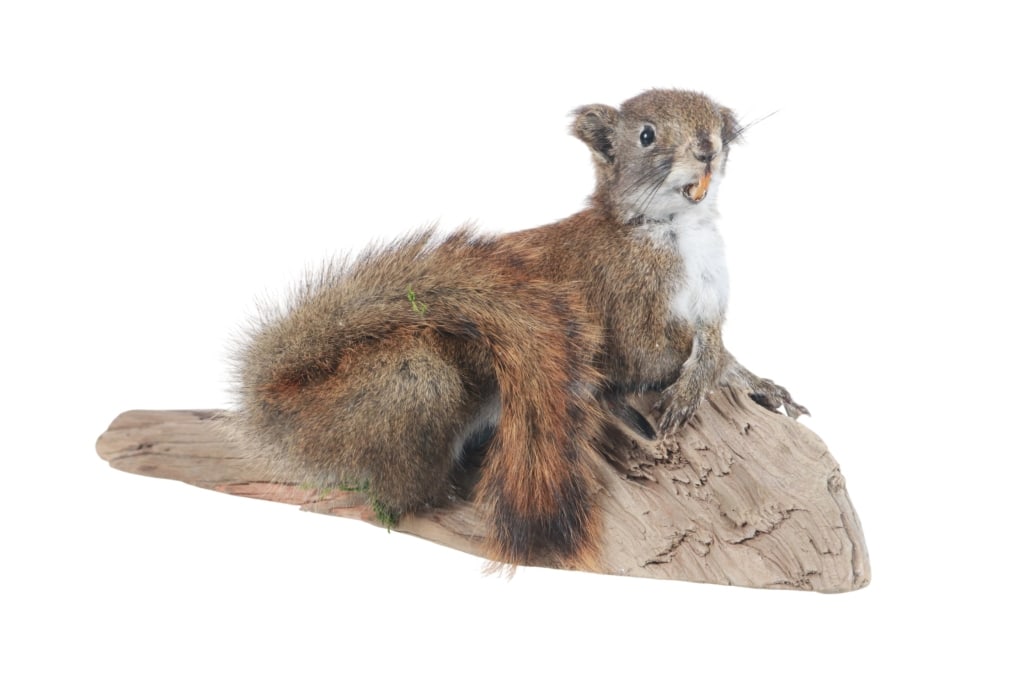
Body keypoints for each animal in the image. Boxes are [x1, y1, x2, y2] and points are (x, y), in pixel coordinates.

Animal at [231, 89, 807, 570]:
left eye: (716, 117)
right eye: (646, 135)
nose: (707, 147)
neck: (677, 230)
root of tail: (286, 402)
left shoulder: (707, 304)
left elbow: (716, 348)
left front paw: (755, 381)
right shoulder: (629, 314)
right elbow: (658, 360)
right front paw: (699, 383)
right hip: (408, 383)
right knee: (389, 493)